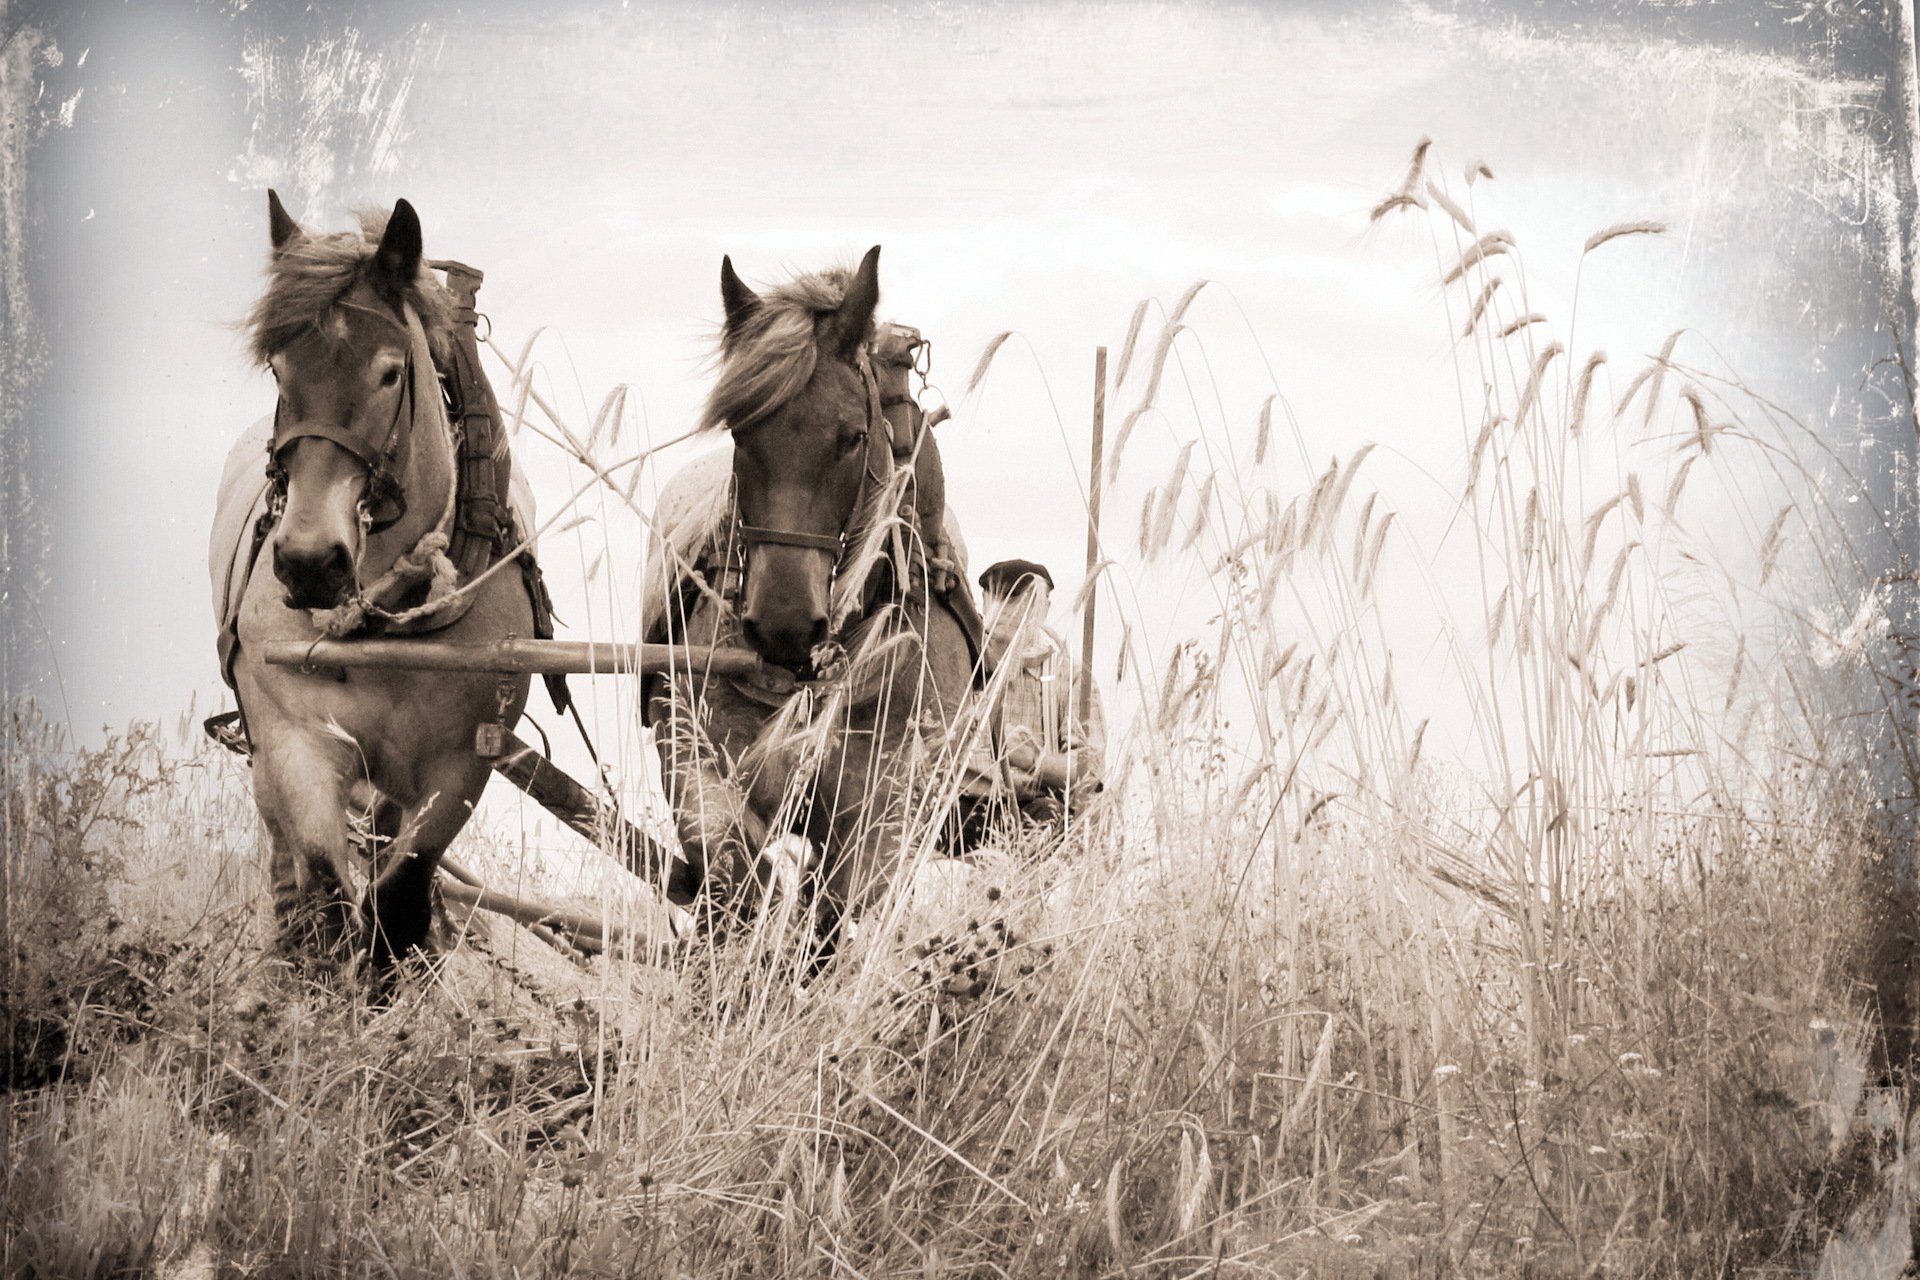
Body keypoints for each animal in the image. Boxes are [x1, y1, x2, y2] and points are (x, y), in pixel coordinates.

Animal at [220, 195, 545, 967]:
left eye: (390, 373)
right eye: (278, 370)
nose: (310, 562)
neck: (382, 623)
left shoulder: (458, 768)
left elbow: (397, 905)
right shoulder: (297, 741)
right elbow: (329, 892)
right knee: (289, 868)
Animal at [641, 249, 975, 951]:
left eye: (852, 437)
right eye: (740, 431)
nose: (784, 626)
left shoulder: (890, 809)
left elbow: (836, 908)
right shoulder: (691, 752)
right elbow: (729, 862)